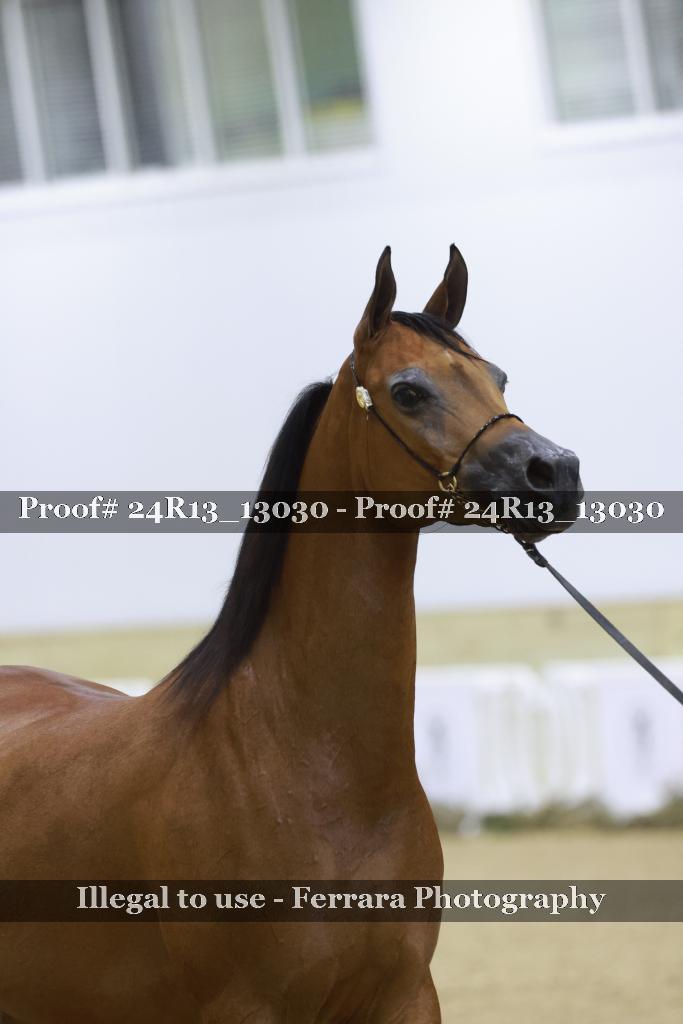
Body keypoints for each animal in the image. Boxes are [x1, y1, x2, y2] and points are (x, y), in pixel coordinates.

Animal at [0, 245, 581, 1023]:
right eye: (408, 392)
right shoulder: (247, 1007)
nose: (555, 472)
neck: (314, 770)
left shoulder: (405, 996)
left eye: (497, 377)